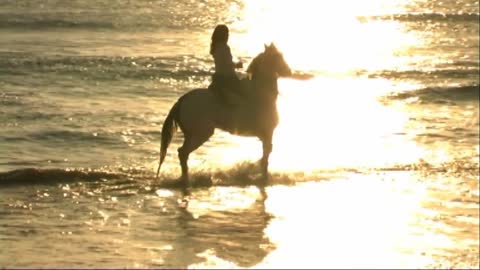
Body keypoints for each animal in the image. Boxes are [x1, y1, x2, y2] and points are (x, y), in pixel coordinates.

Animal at [158, 43, 292, 187]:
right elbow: (266, 156)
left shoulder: (265, 135)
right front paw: (263, 177)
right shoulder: (268, 133)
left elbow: (265, 155)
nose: (288, 71)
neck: (260, 93)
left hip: (191, 135)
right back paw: (186, 181)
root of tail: (182, 100)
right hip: (201, 134)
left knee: (182, 153)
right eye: (278, 57)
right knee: (182, 153)